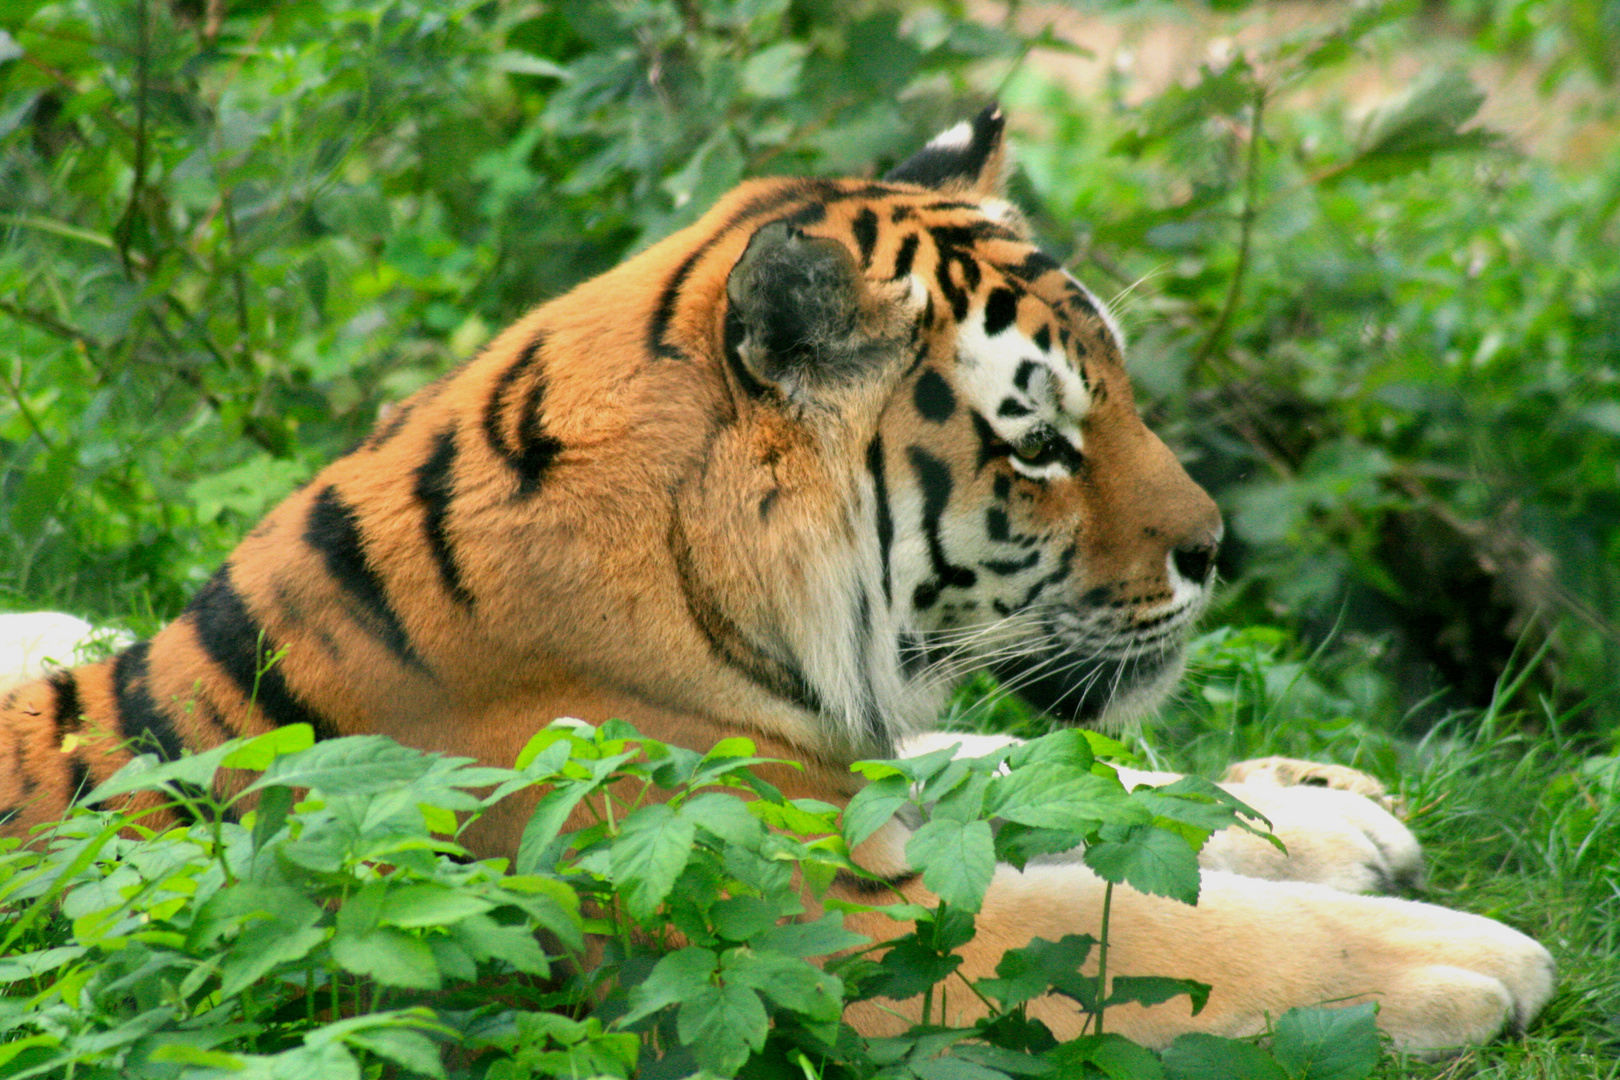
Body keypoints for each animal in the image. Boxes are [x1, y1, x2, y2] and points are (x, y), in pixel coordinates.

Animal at [0, 107, 1555, 1055]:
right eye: (1041, 442)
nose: (1214, 547)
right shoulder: (799, 922)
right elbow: (1146, 929)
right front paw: (1459, 958)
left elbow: (1033, 788)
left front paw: (1325, 814)